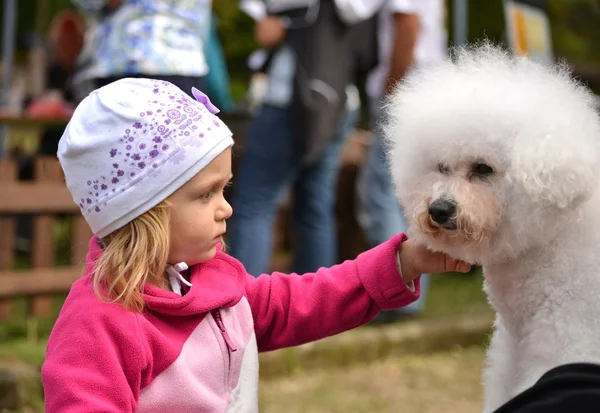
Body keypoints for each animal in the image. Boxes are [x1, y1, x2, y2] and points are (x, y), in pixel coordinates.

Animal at [382, 43, 600, 410]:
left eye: (483, 169)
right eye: (441, 167)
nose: (439, 209)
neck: (554, 241)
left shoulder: (567, 337)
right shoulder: (512, 348)